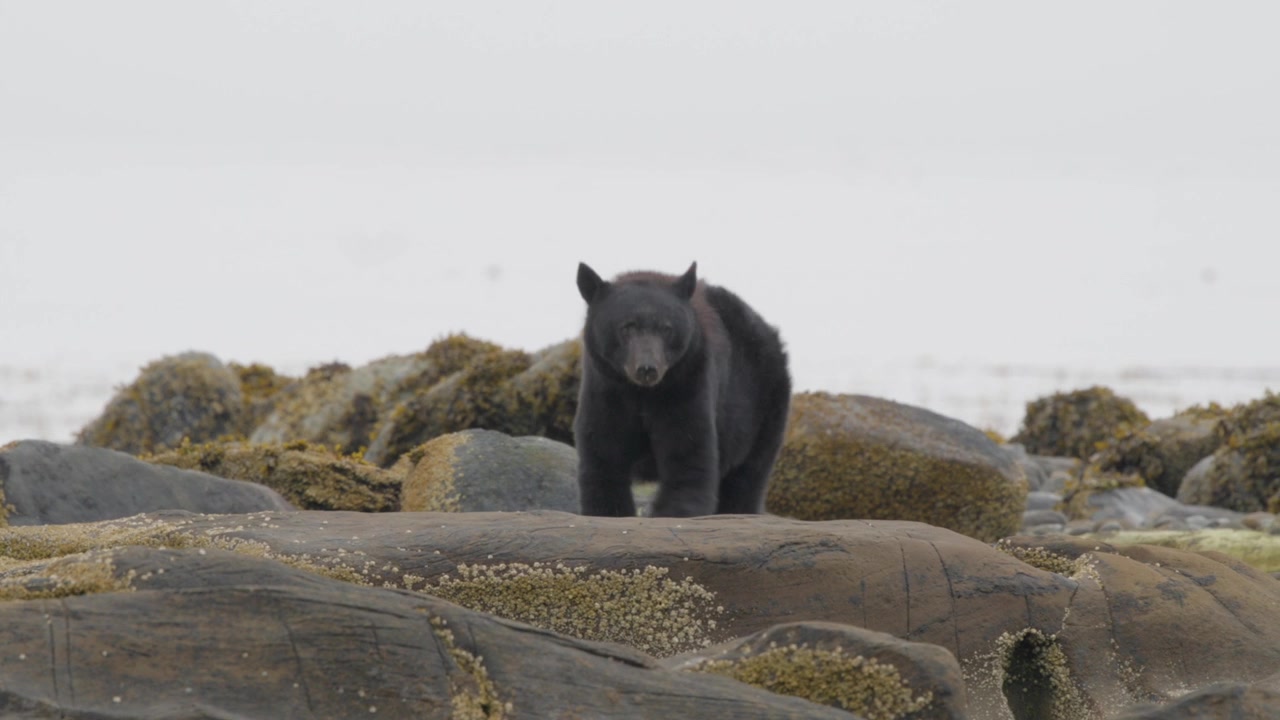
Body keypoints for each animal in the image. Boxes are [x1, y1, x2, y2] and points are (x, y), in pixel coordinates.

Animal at [574, 261, 791, 517]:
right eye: (627, 327)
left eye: (666, 328)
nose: (647, 369)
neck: (641, 392)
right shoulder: (606, 387)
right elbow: (604, 449)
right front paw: (609, 509)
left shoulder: (685, 382)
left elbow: (687, 450)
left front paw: (674, 510)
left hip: (762, 405)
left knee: (748, 473)